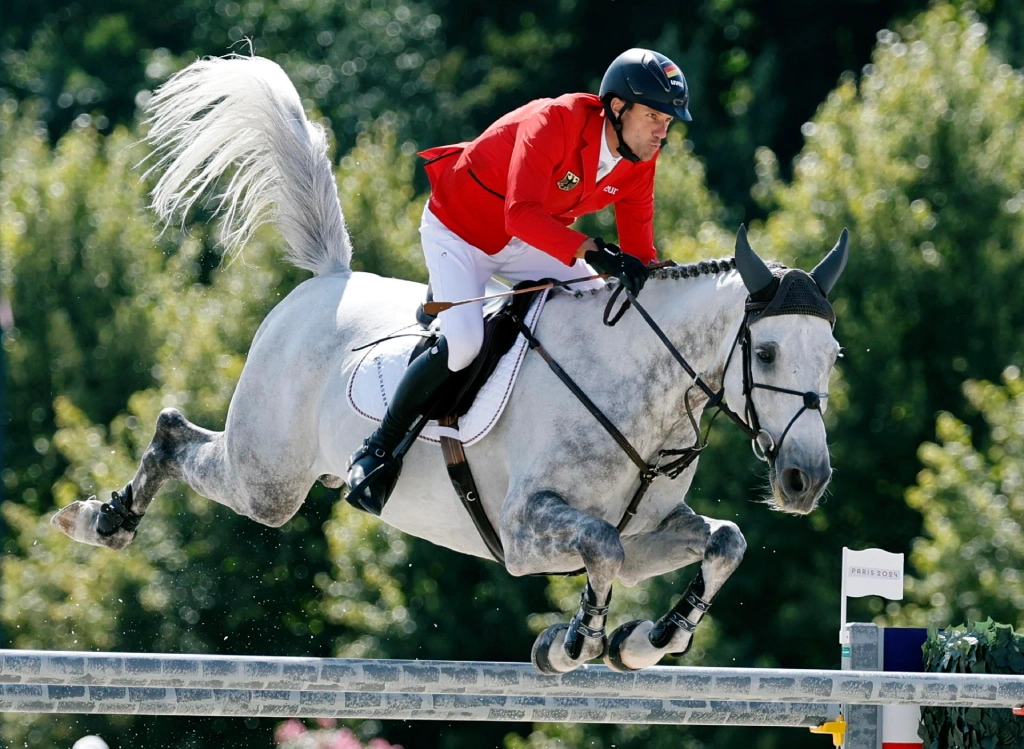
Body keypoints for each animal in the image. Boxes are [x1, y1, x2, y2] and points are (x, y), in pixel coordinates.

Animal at [51, 54, 847, 672]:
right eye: (766, 350)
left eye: (833, 355)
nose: (805, 481)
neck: (639, 398)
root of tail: (330, 281)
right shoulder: (528, 532)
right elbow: (604, 545)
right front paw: (575, 642)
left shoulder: (656, 529)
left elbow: (721, 541)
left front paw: (647, 639)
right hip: (267, 477)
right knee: (178, 432)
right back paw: (103, 520)